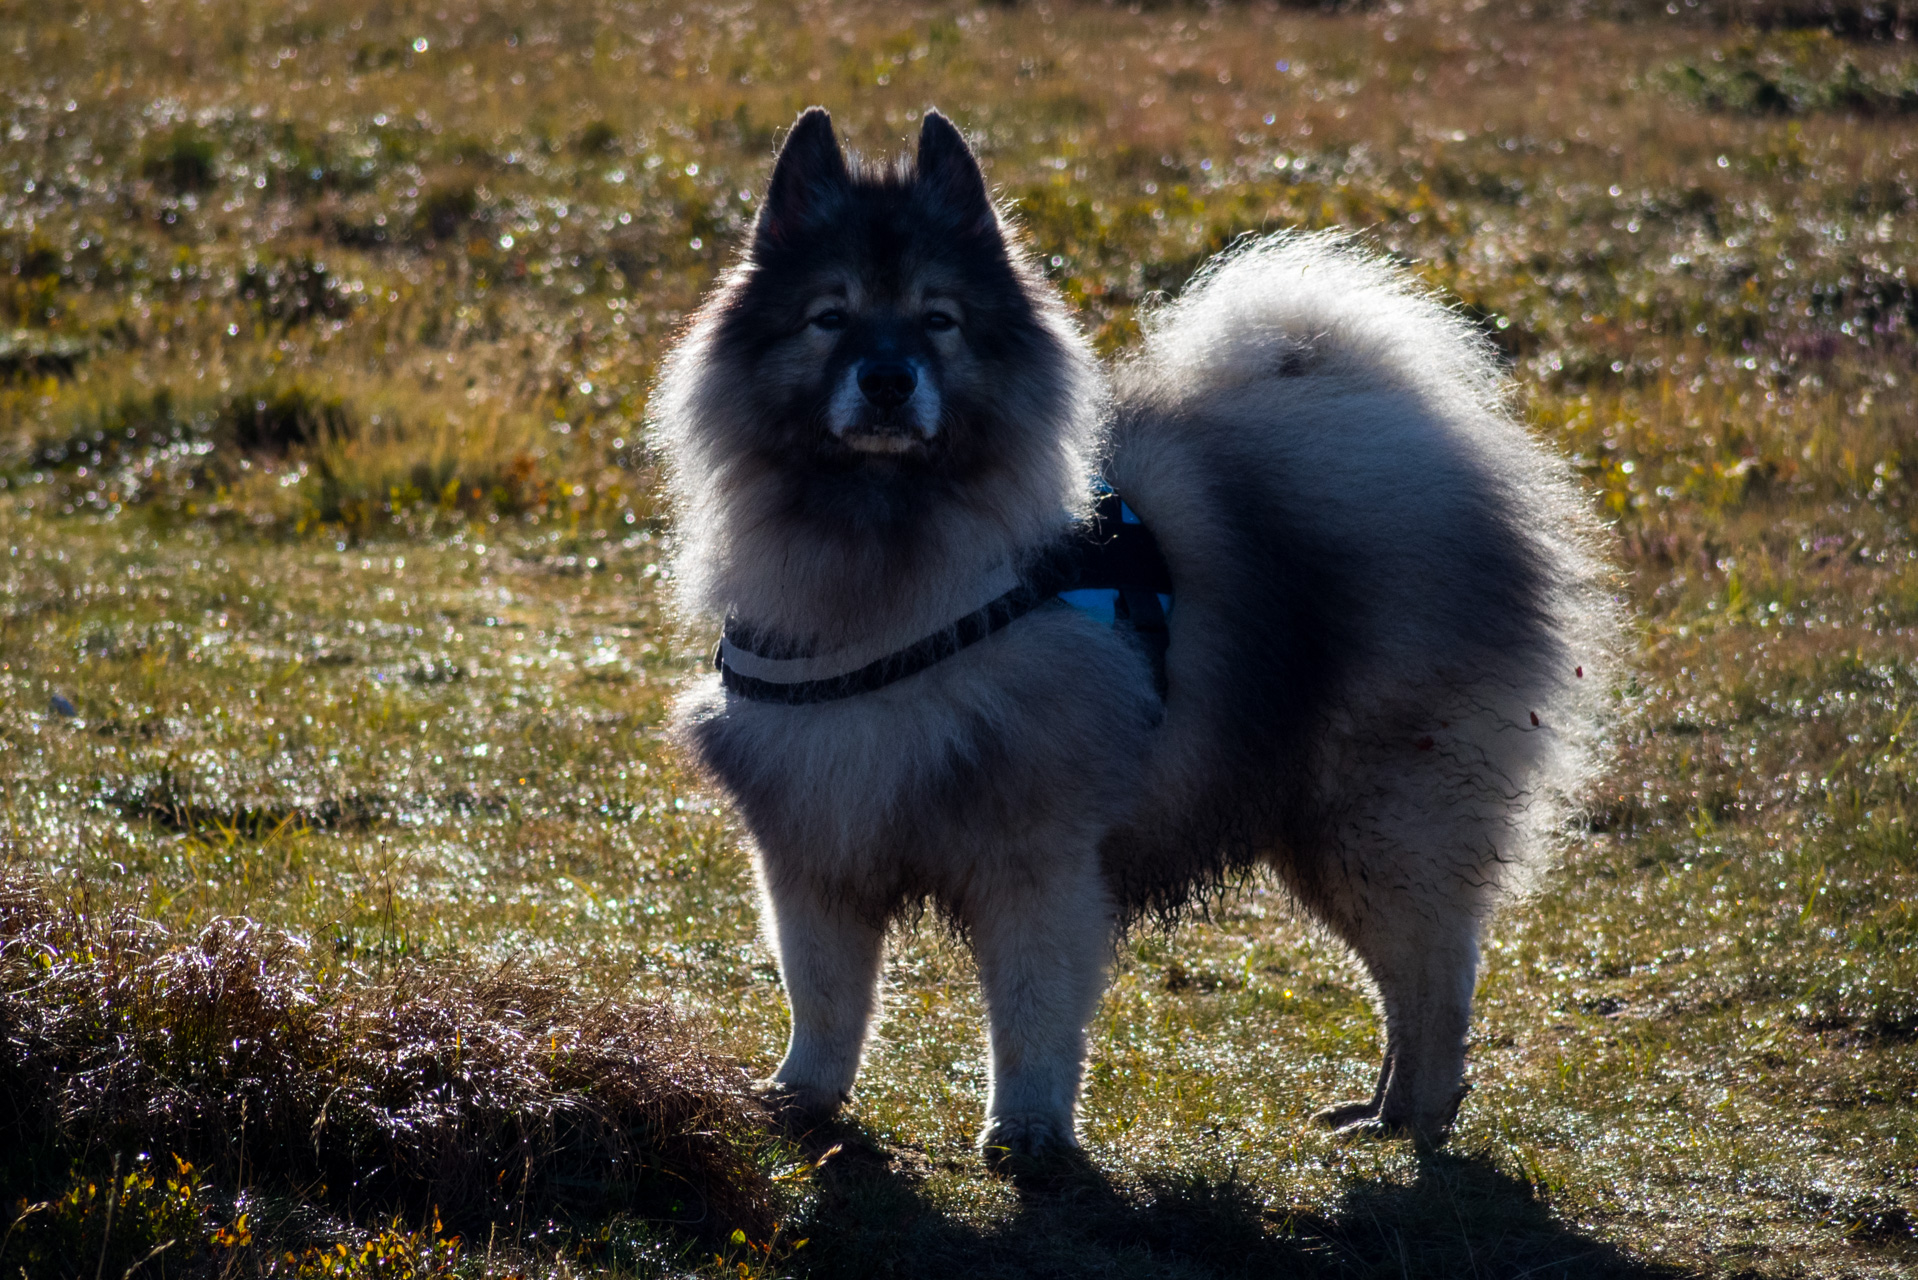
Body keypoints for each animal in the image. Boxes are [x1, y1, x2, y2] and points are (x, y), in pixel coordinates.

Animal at [648, 105, 1618, 1159]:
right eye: (830, 317)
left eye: (939, 320)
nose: (888, 378)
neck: (889, 564)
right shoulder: (814, 839)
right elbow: (823, 996)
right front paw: (802, 1099)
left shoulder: (1036, 856)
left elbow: (1031, 1008)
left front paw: (1028, 1131)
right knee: (1413, 976)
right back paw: (1384, 1109)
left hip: (1376, 820)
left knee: (1433, 975)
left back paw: (1417, 1117)